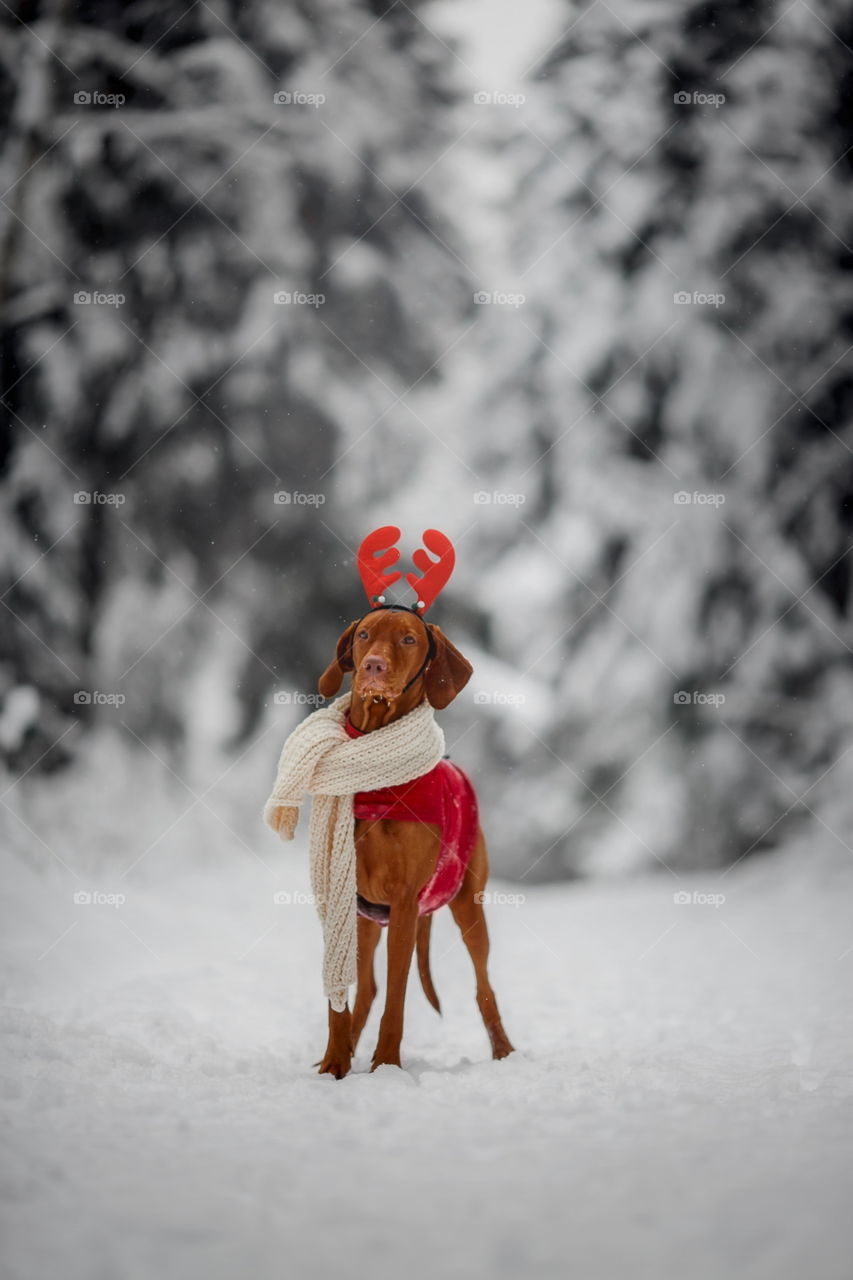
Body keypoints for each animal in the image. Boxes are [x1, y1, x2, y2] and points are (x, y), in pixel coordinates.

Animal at [312, 604, 512, 1075]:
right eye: (364, 634)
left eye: (408, 639)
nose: (373, 666)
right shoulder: (341, 894)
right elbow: (339, 1000)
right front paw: (334, 1063)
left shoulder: (404, 903)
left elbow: (398, 999)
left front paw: (386, 1065)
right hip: (368, 920)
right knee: (367, 988)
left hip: (468, 906)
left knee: (484, 987)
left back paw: (504, 1053)